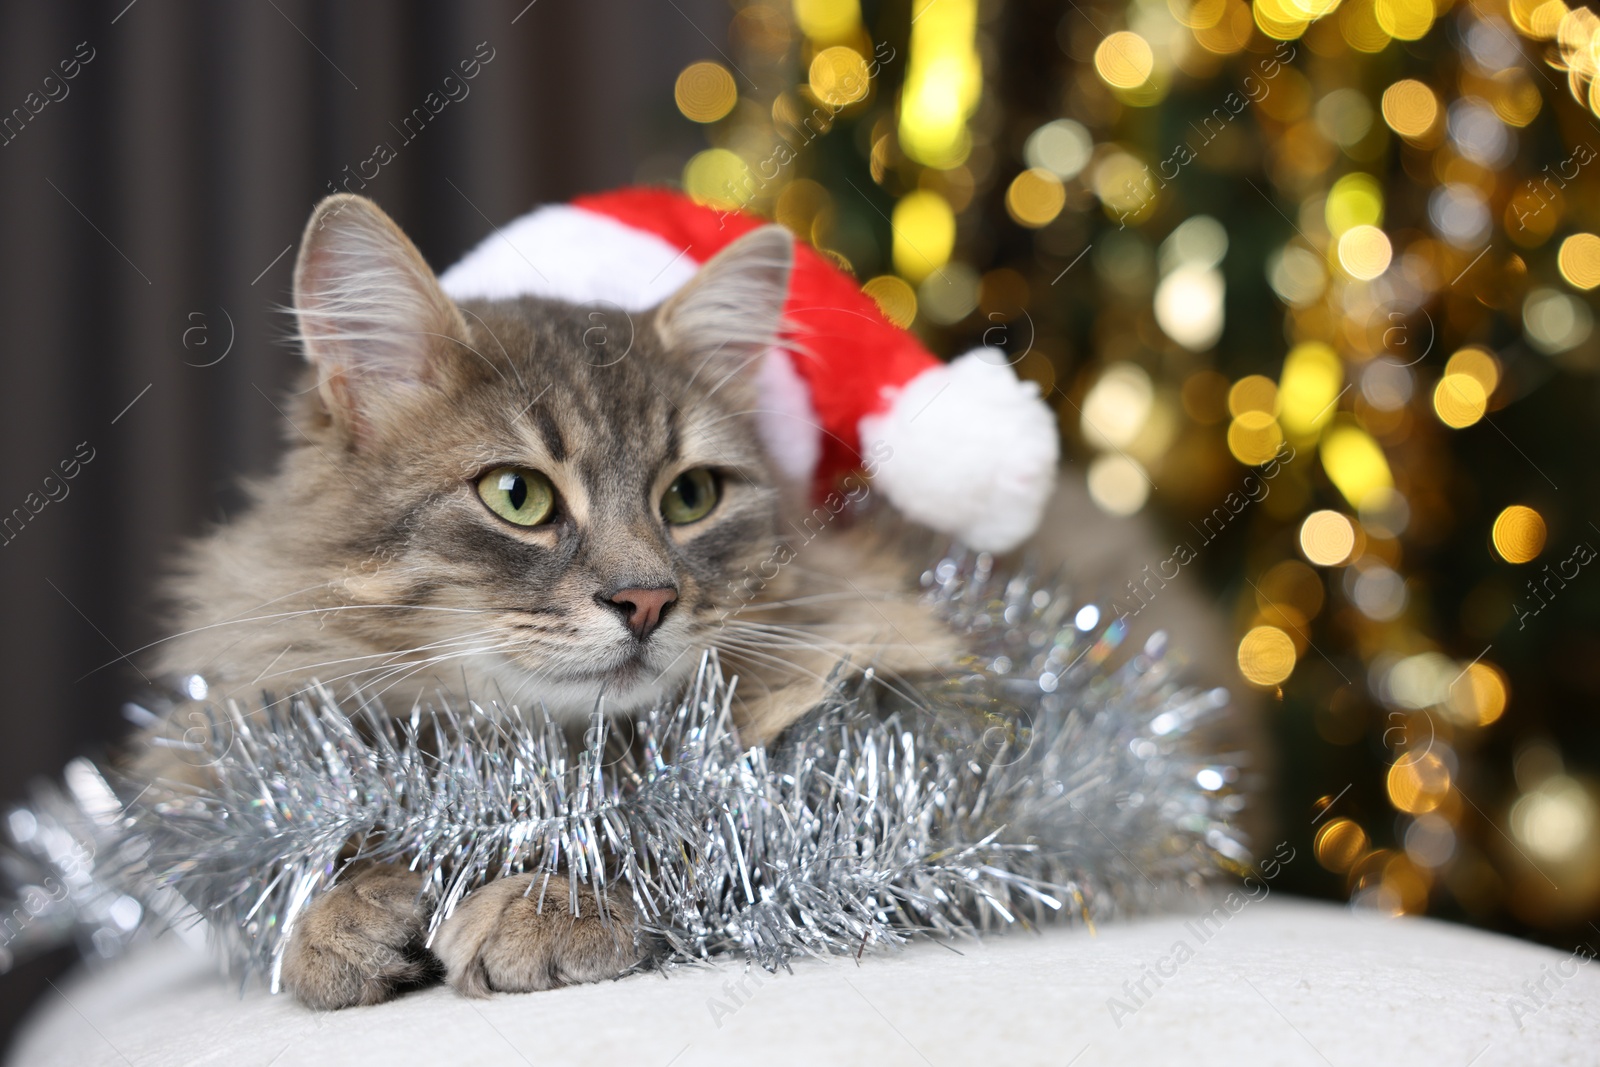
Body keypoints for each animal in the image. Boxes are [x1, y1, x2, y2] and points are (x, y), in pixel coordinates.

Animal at [134, 194, 1235, 1011]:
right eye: (517, 495)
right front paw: (344, 909)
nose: (646, 598)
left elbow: (688, 815)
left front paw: (544, 897)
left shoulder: (925, 759)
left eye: (691, 495)